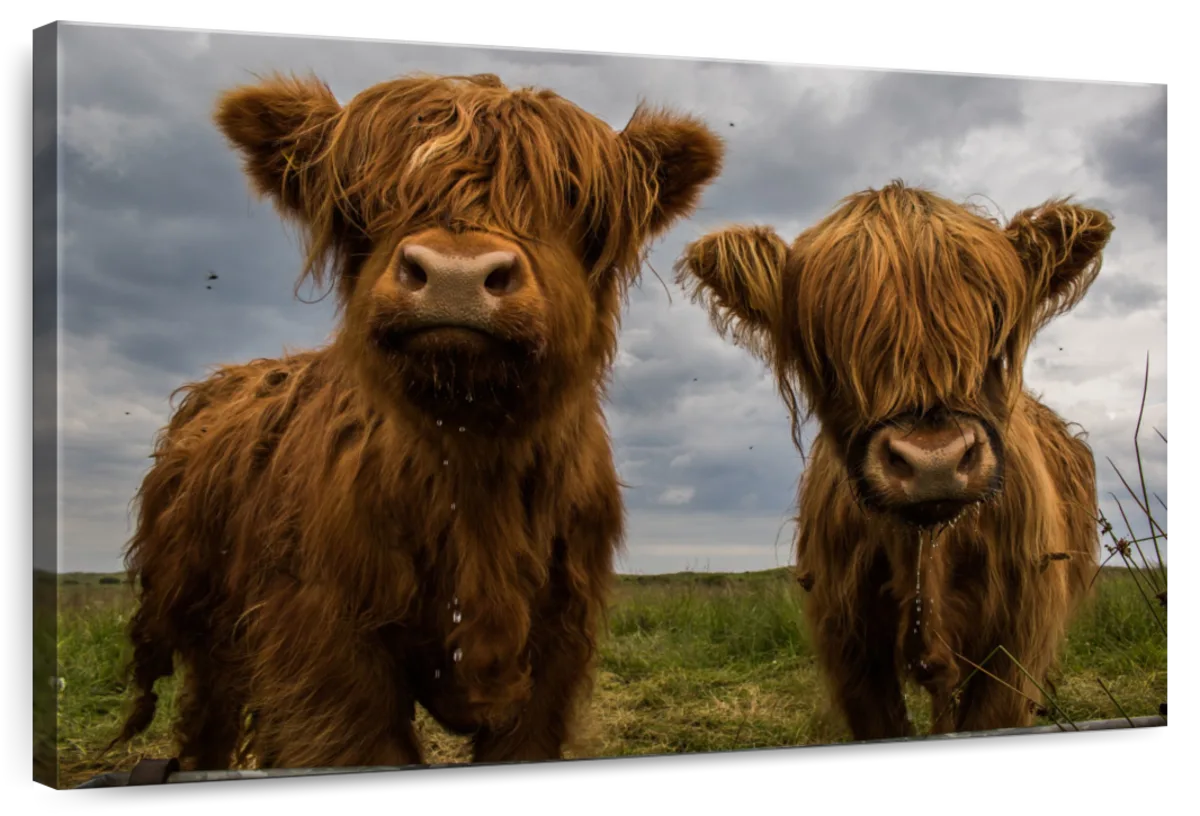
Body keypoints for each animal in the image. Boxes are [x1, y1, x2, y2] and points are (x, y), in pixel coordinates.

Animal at [107, 72, 724, 769]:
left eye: (571, 198)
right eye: (365, 196)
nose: (456, 275)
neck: (473, 465)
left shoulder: (556, 648)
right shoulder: (327, 651)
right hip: (203, 624)